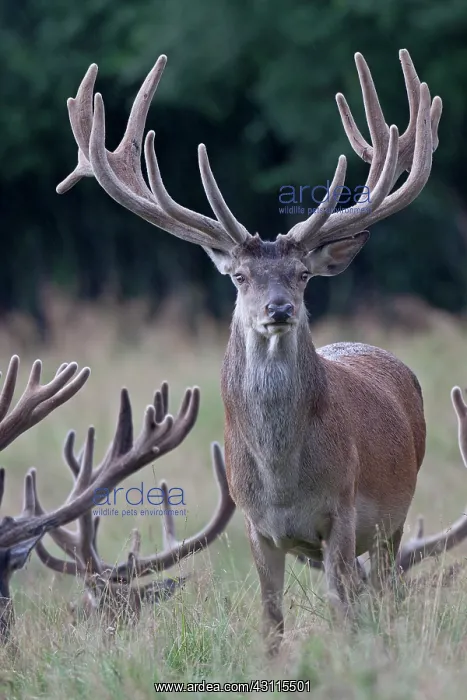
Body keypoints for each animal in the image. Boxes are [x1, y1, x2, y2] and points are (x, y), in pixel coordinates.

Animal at [57, 48, 448, 653]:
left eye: (303, 275)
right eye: (240, 277)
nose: (279, 309)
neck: (282, 480)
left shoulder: (342, 510)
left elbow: (341, 607)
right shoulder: (254, 525)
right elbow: (270, 617)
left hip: (394, 518)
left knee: (383, 593)